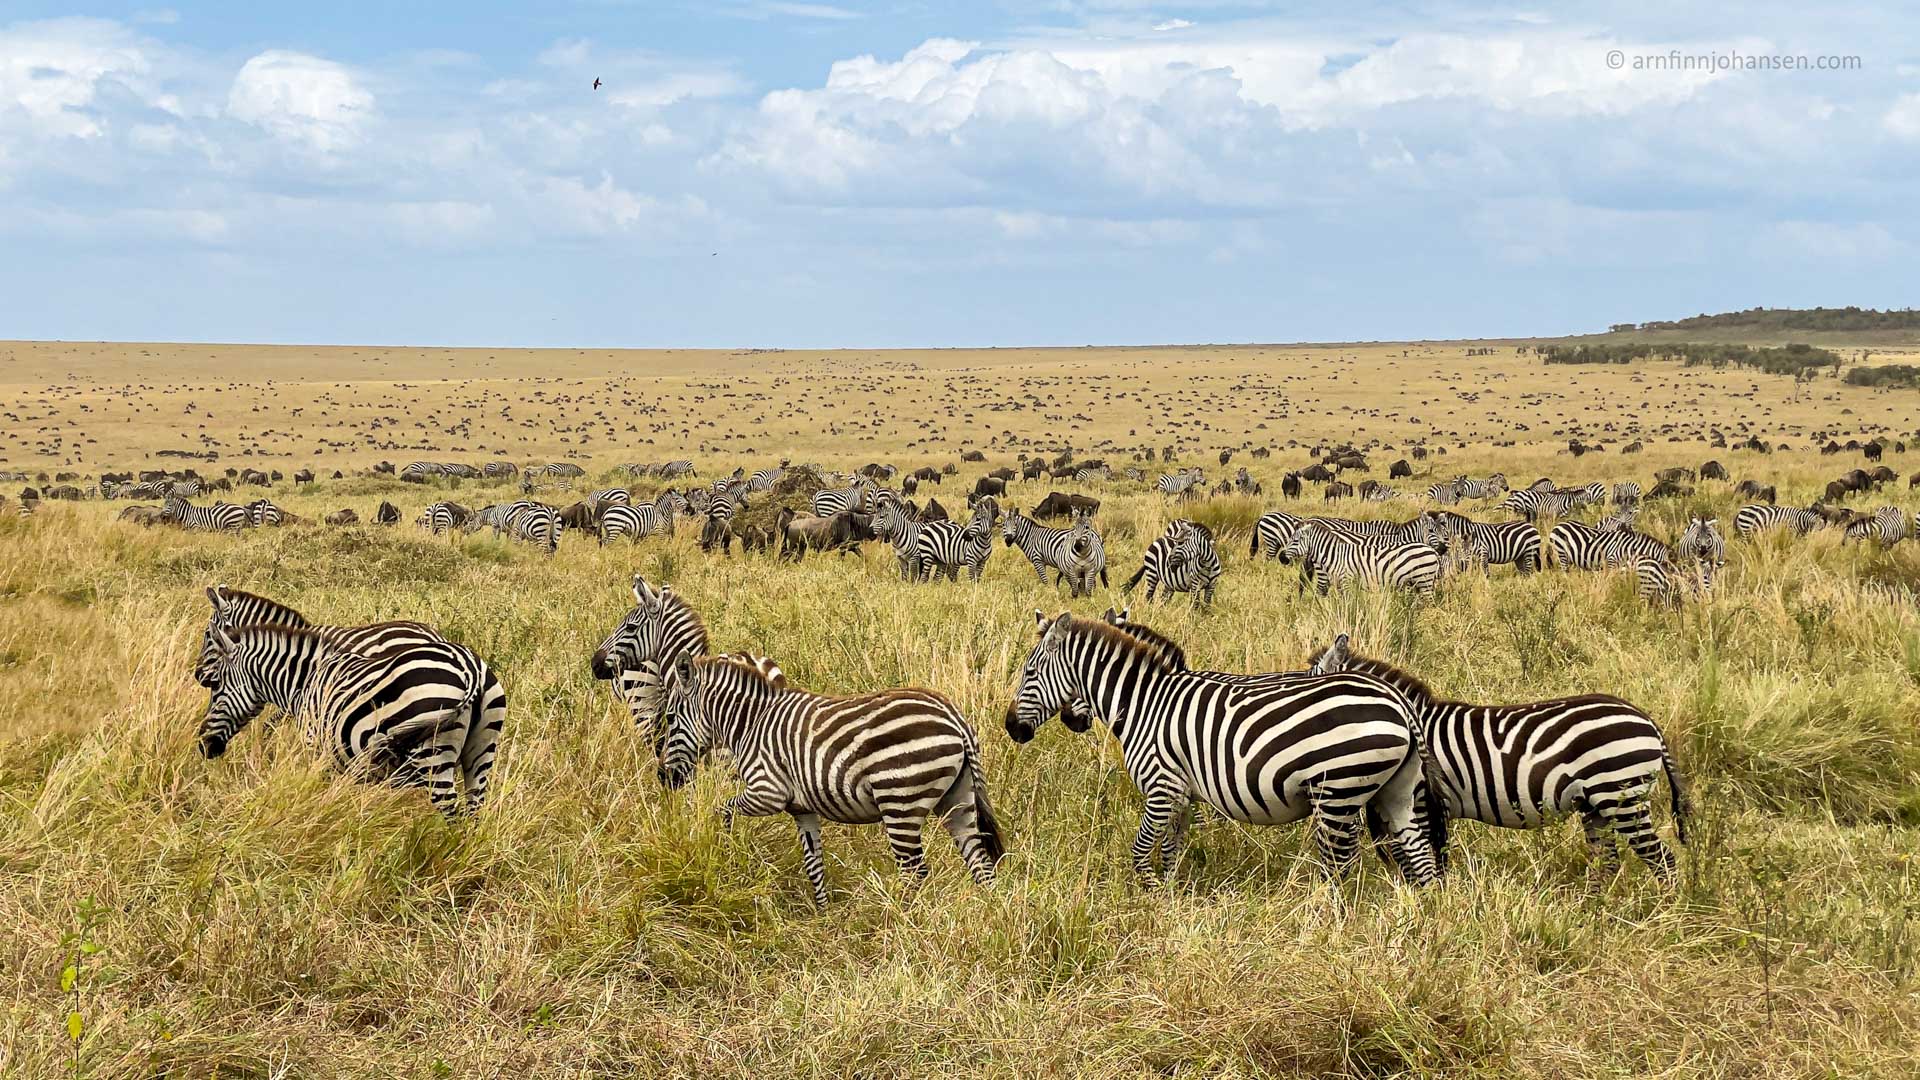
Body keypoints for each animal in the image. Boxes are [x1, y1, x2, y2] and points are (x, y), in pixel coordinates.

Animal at [196, 614, 503, 814]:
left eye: (215, 686)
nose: (203, 746)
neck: (306, 681)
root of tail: (470, 668)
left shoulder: (317, 750)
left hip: (434, 758)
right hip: (481, 751)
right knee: (474, 811)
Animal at [660, 645, 1006, 907]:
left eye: (670, 718)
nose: (664, 777)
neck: (750, 723)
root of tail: (955, 718)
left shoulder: (767, 791)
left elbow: (724, 808)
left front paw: (725, 844)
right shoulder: (801, 808)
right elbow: (813, 862)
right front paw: (823, 913)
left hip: (900, 802)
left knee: (915, 872)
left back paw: (905, 924)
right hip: (958, 799)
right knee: (980, 863)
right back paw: (988, 917)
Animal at [1006, 611, 1443, 887]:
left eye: (1029, 672)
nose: (1011, 728)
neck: (1144, 703)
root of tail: (1400, 703)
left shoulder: (1161, 786)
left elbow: (1141, 849)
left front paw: (1149, 896)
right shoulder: (1181, 793)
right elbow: (1170, 850)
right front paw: (1170, 895)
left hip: (1339, 790)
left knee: (1339, 864)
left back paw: (1320, 916)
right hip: (1395, 791)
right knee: (1421, 858)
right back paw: (1422, 921)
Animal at [1305, 634, 1681, 880]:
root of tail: (1648, 721)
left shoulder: (1422, 801)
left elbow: (1421, 854)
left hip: (1622, 795)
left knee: (1662, 859)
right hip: (1596, 806)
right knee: (1608, 862)